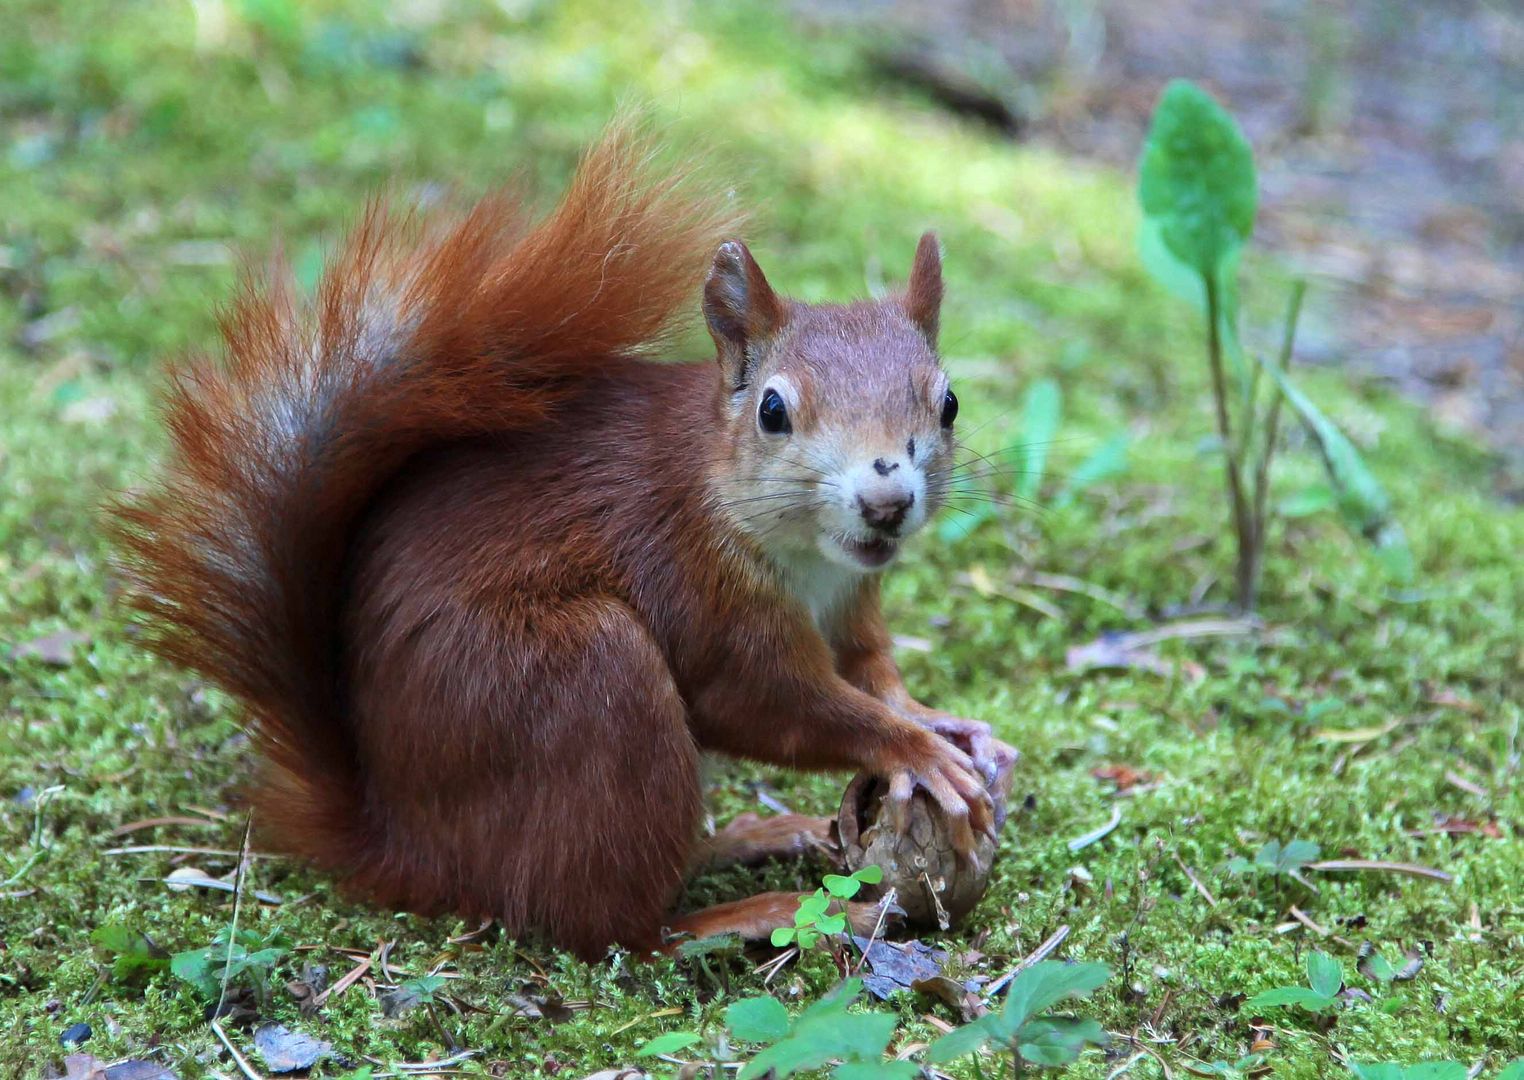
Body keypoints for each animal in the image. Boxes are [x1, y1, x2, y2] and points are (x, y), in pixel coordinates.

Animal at [112, 126, 1005, 962]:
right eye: (774, 412)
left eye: (950, 402)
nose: (887, 500)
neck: (805, 558)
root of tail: (406, 847)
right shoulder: (694, 582)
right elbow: (767, 703)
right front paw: (915, 748)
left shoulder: (852, 602)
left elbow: (869, 669)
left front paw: (945, 723)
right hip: (585, 680)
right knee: (612, 926)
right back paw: (753, 913)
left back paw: (749, 838)